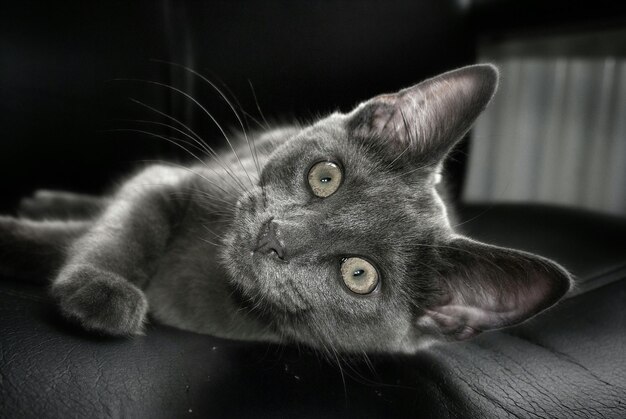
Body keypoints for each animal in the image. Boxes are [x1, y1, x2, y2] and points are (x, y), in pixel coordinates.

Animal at [0, 65, 572, 354]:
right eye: (325, 177)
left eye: (359, 275)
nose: (275, 235)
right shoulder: (170, 183)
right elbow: (126, 227)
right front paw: (99, 287)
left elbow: (71, 239)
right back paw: (50, 199)